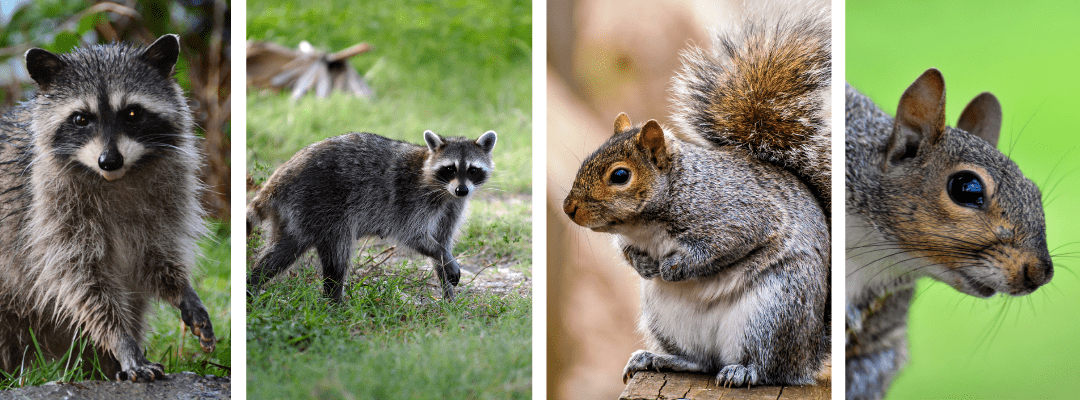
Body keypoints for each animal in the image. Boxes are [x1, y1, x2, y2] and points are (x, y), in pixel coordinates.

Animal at [0, 35, 215, 382]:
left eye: (132, 113)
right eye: (80, 119)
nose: (109, 160)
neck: (115, 179)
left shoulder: (167, 197)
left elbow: (156, 257)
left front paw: (182, 289)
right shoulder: (49, 213)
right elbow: (84, 283)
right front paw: (122, 342)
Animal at [247, 129, 497, 302]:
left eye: (473, 170)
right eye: (450, 168)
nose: (462, 190)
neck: (443, 189)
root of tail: (282, 174)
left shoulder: (452, 207)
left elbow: (442, 240)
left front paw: (448, 290)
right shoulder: (411, 199)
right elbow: (413, 235)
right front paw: (445, 258)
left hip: (297, 215)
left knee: (281, 252)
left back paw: (253, 283)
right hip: (322, 203)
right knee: (338, 255)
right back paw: (334, 300)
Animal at [562, 8, 830, 387]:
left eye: (620, 175)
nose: (569, 209)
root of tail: (807, 356)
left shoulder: (737, 215)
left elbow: (723, 246)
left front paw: (674, 267)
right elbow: (626, 251)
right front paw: (643, 264)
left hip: (774, 310)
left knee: (768, 367)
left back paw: (743, 370)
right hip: (667, 318)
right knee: (701, 361)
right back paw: (657, 359)